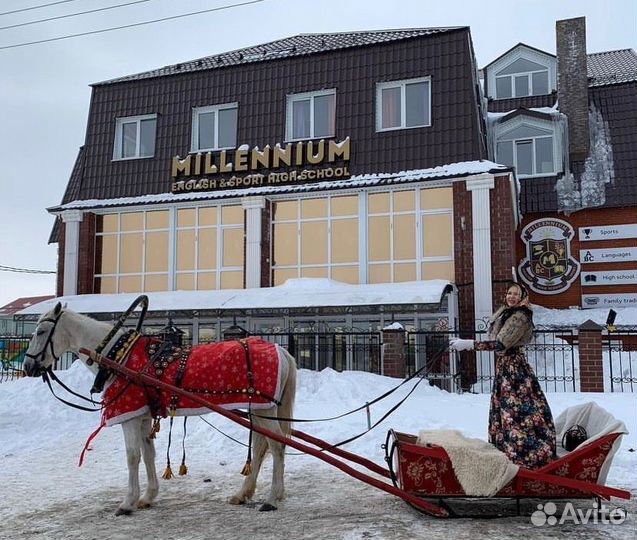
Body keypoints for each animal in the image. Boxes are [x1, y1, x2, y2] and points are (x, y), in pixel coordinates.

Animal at [22, 304, 296, 516]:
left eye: (41, 331)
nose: (27, 366)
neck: (118, 358)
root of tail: (280, 349)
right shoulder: (142, 416)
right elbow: (148, 454)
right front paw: (148, 496)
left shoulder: (129, 417)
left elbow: (132, 456)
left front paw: (127, 502)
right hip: (258, 409)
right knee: (261, 447)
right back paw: (243, 493)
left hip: (265, 409)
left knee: (276, 446)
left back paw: (272, 498)